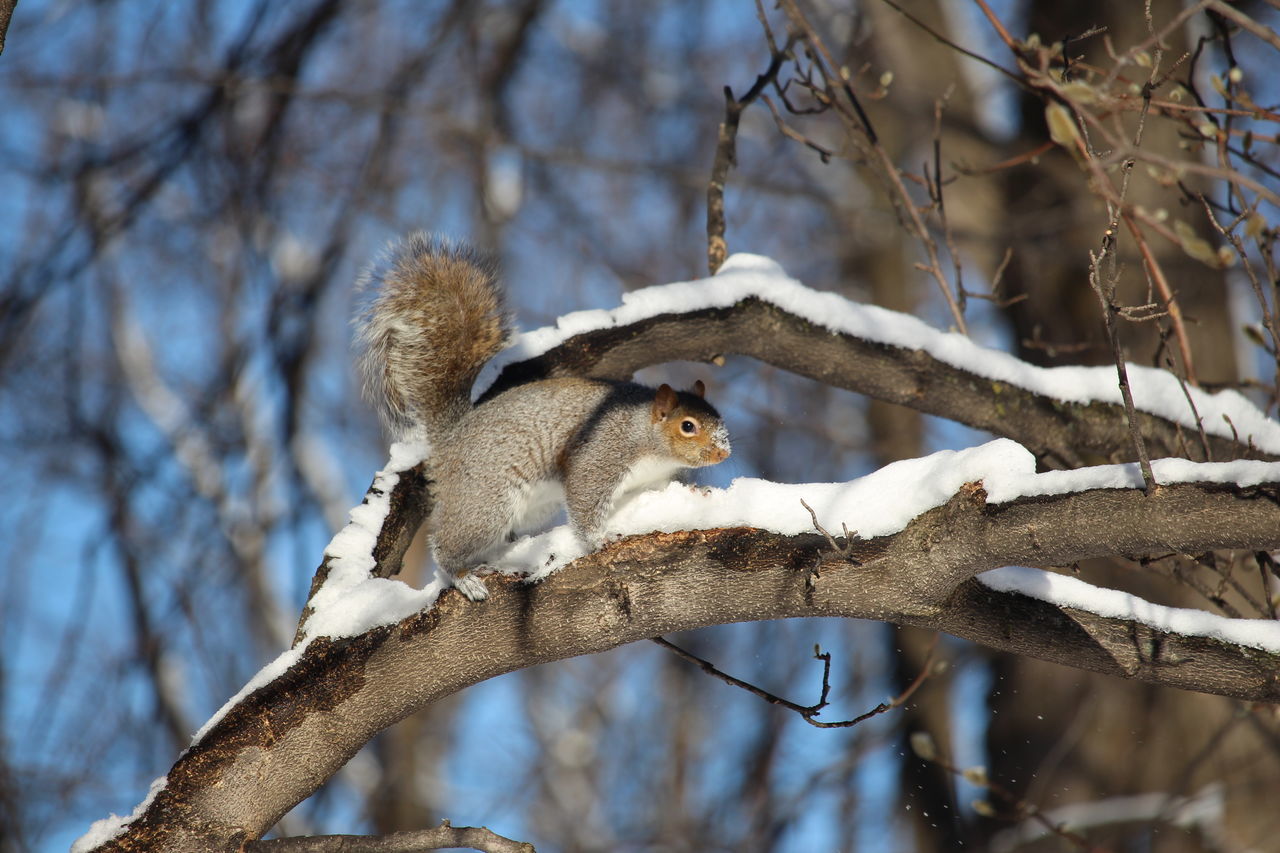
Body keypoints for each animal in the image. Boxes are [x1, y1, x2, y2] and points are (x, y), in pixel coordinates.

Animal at [353, 233, 732, 596]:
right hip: (486, 499)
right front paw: (600, 539)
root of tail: (451, 437)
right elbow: (585, 499)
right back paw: (463, 577)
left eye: (719, 420)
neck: (649, 441)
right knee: (448, 544)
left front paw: (698, 493)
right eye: (687, 426)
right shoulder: (602, 453)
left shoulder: (652, 480)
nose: (724, 452)